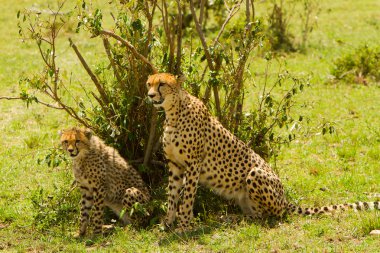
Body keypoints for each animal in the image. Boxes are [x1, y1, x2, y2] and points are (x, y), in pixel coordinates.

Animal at [145, 72, 378, 231]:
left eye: (162, 84)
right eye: (149, 84)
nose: (149, 95)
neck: (173, 113)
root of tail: (284, 198)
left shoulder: (194, 163)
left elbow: (187, 197)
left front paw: (184, 225)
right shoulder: (175, 165)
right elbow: (172, 195)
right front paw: (167, 223)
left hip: (256, 174)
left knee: (267, 215)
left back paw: (231, 219)